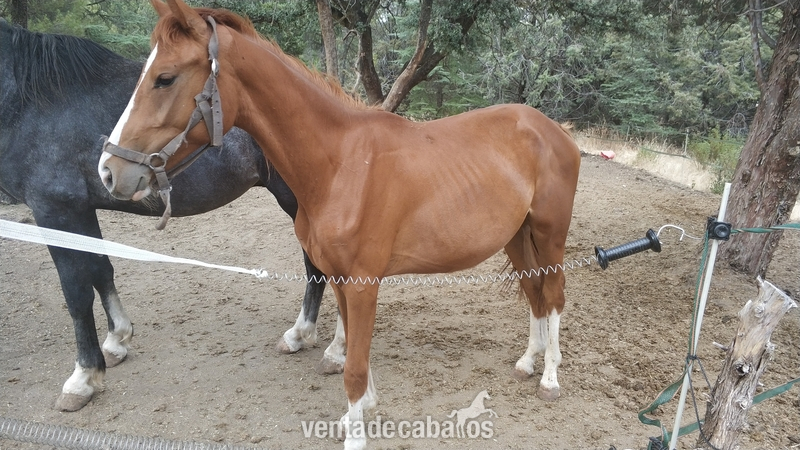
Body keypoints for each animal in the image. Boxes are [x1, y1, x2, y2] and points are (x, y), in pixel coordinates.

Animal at [0, 17, 341, 412]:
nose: (109, 171)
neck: (31, 101)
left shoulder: (55, 208)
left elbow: (76, 292)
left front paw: (82, 378)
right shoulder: (82, 211)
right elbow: (101, 270)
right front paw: (117, 341)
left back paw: (328, 348)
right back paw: (300, 335)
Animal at [98, 2, 581, 448]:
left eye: (165, 78)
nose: (108, 171)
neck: (341, 165)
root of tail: (554, 129)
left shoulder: (364, 283)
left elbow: (353, 365)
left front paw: (356, 433)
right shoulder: (339, 278)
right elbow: (353, 353)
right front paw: (360, 413)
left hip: (550, 234)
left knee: (554, 296)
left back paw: (550, 379)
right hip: (517, 237)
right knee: (535, 293)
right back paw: (527, 362)